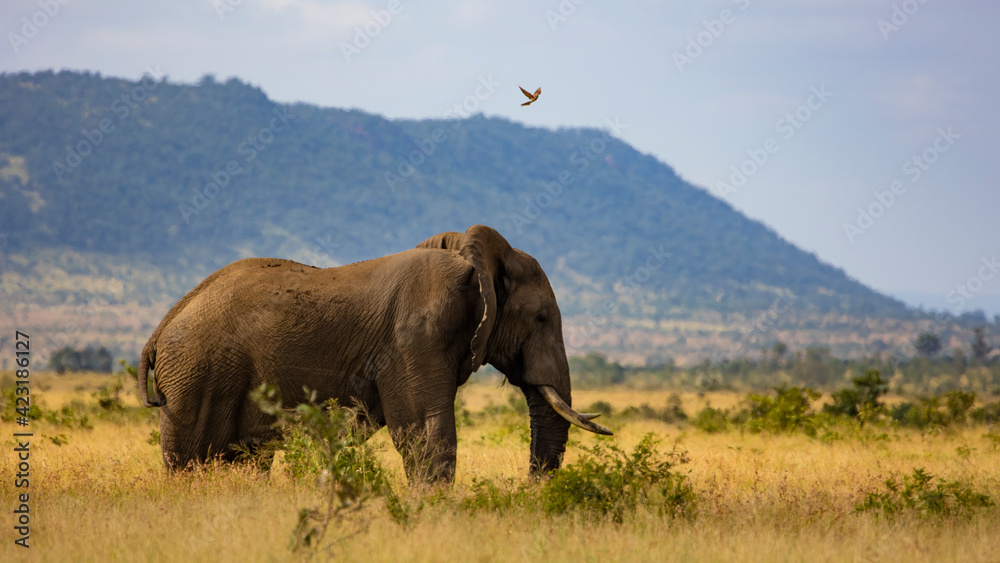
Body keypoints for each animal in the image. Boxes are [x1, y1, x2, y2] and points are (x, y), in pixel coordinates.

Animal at [137, 224, 610, 482]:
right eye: (542, 318)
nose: (528, 489)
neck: (470, 263)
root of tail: (163, 325)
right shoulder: (415, 336)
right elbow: (424, 428)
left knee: (244, 457)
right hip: (196, 373)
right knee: (189, 457)